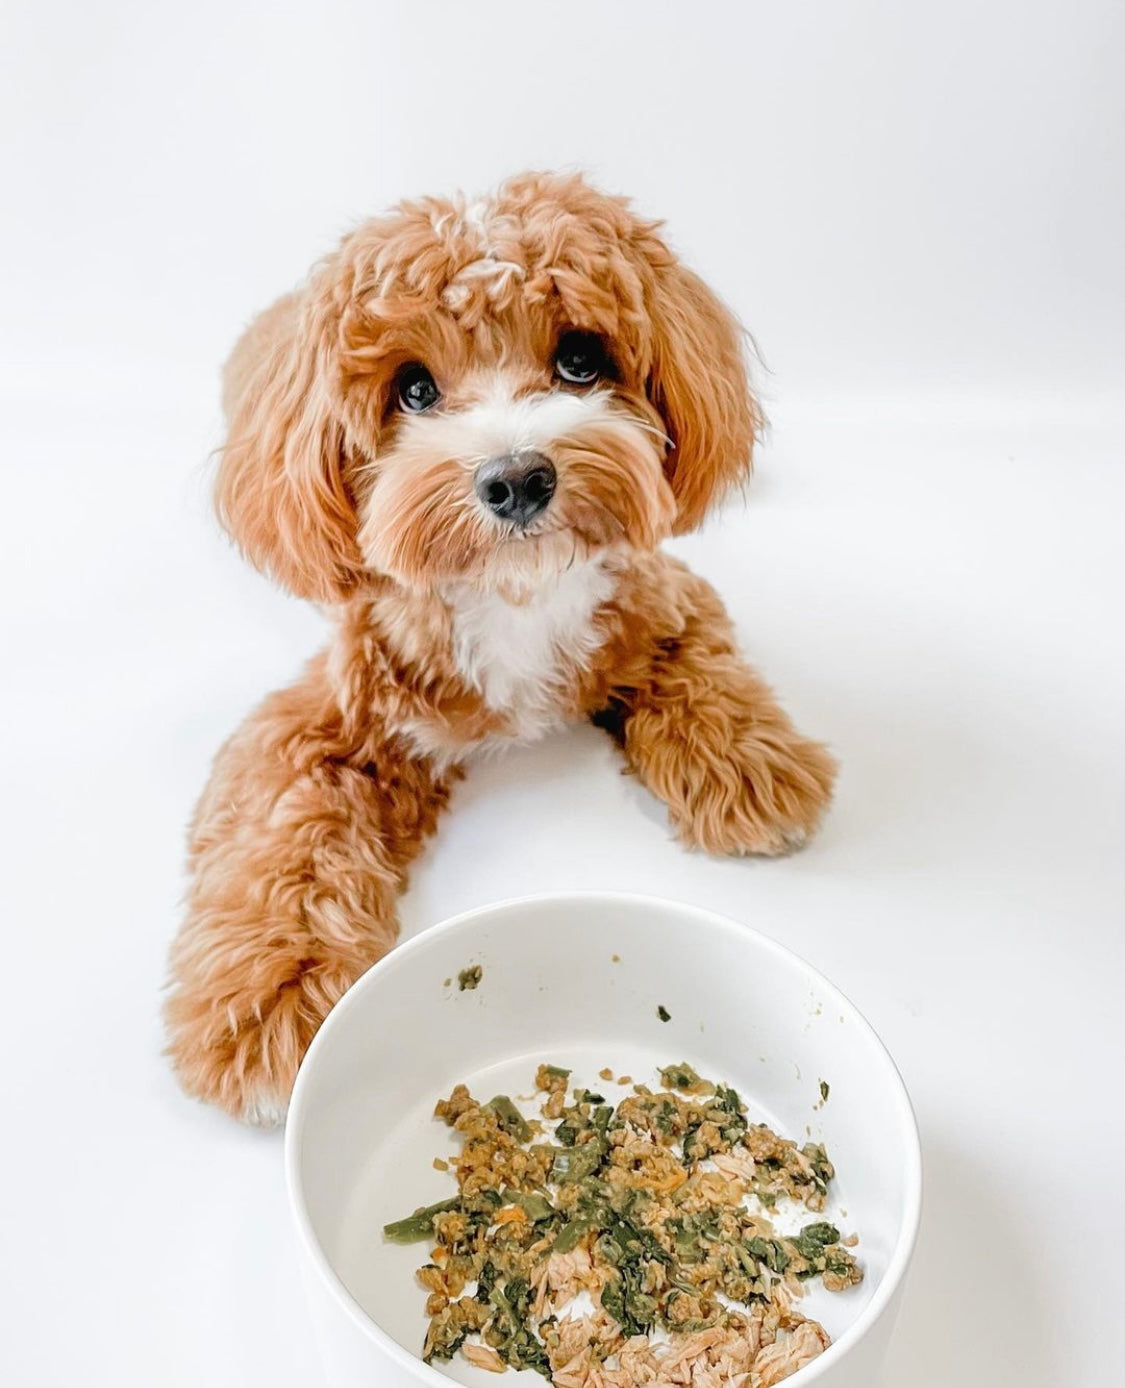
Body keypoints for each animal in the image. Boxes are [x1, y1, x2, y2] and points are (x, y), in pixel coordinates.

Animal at [165, 176, 837, 1127]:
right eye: (412, 388)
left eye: (581, 360)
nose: (517, 478)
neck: (514, 592)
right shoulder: (325, 714)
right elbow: (283, 846)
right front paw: (271, 999)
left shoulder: (656, 598)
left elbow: (697, 668)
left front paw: (751, 765)